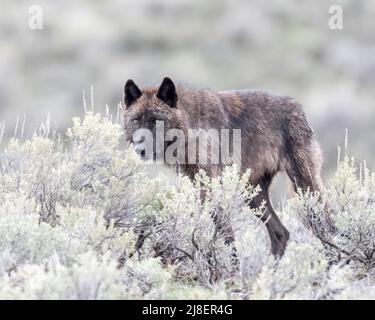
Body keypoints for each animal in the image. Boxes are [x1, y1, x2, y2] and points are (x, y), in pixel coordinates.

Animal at [122, 77, 324, 258]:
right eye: (135, 120)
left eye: (156, 121)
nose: (140, 149)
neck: (189, 125)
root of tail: (297, 107)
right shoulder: (197, 186)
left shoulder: (209, 187)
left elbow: (226, 234)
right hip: (254, 195)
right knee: (281, 233)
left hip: (305, 190)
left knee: (323, 226)